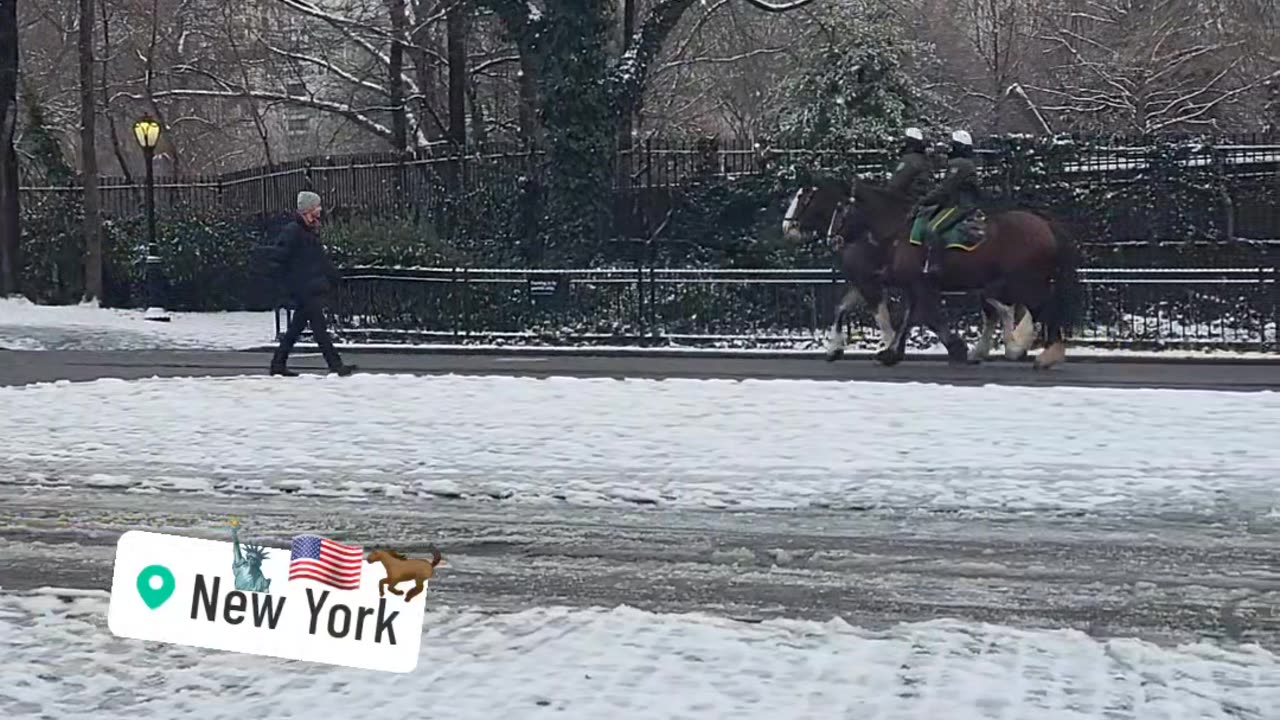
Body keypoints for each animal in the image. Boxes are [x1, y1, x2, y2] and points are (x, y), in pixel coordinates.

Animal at [829, 176, 1080, 366]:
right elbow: (911, 318)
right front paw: (892, 352)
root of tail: (1045, 224)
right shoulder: (912, 285)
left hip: (1025, 281)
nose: (833, 239)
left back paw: (1043, 354)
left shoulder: (916, 284)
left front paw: (956, 348)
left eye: (842, 209)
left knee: (1041, 308)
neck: (899, 231)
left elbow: (924, 317)